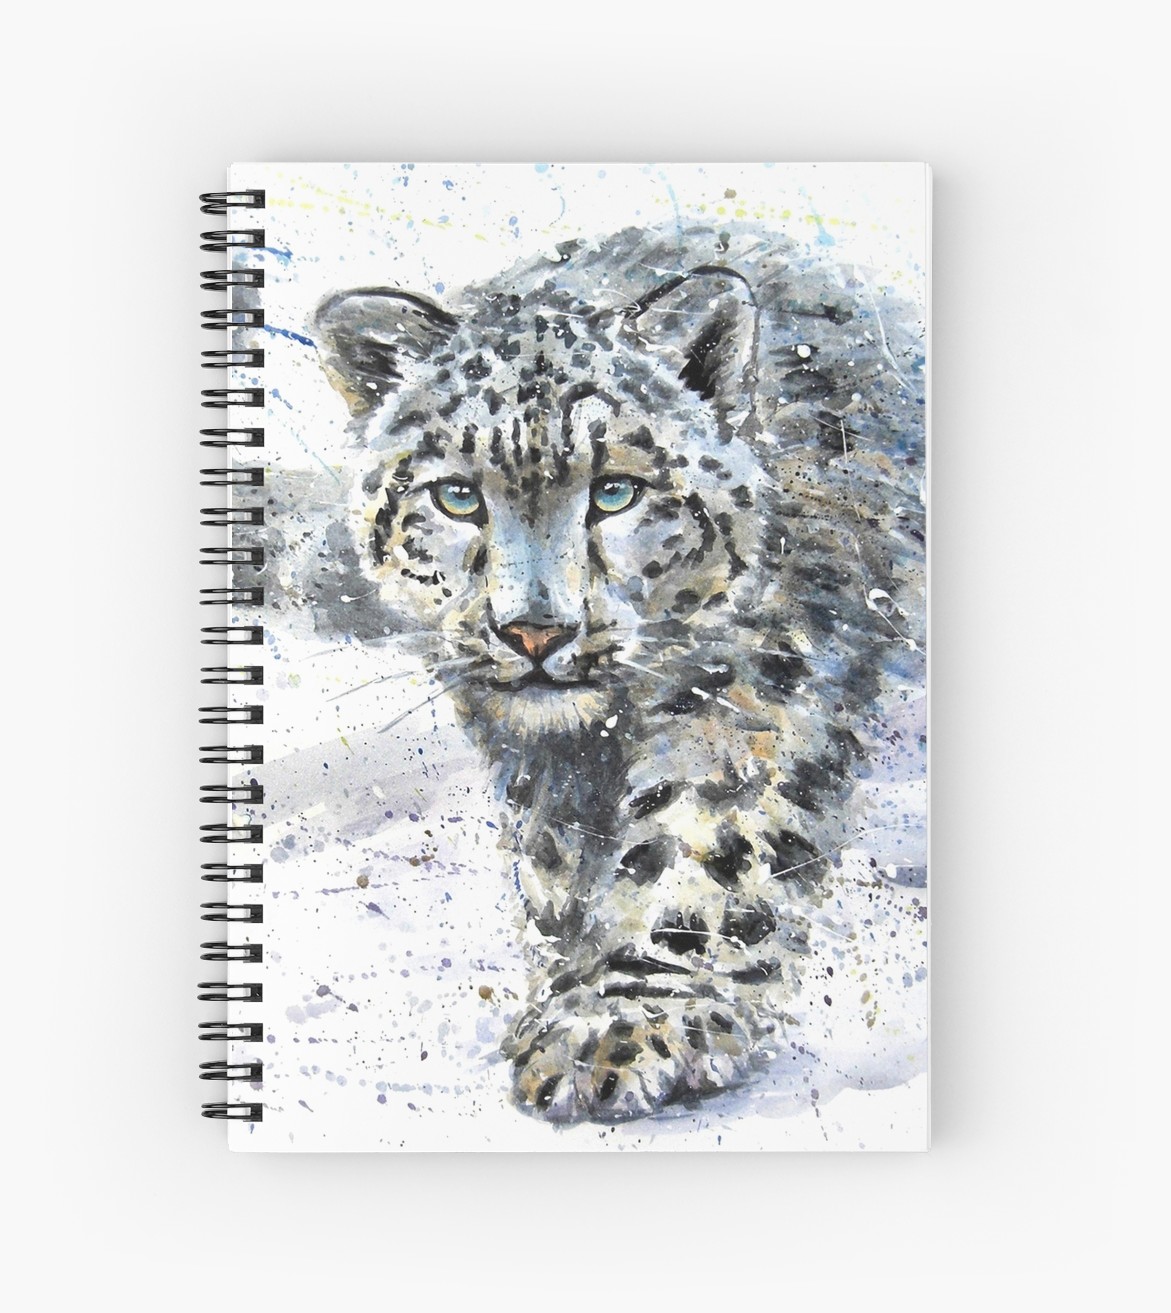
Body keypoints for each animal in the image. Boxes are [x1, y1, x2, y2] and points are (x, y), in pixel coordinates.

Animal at [310, 222, 926, 1123]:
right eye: (455, 495)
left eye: (615, 492)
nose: (533, 630)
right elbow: (554, 853)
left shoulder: (748, 694)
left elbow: (704, 843)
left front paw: (622, 1016)